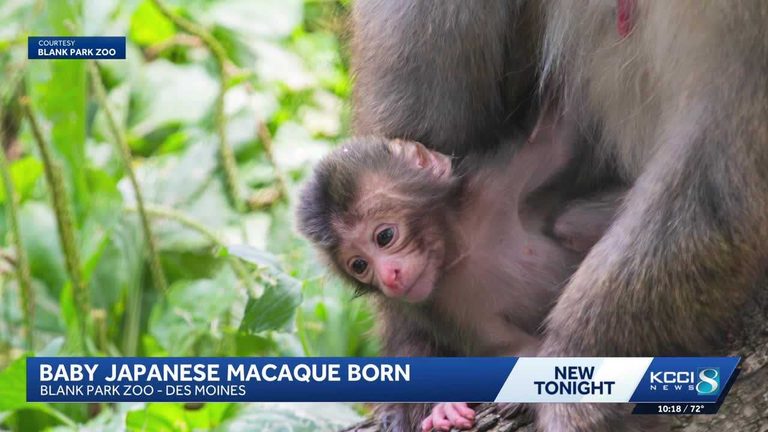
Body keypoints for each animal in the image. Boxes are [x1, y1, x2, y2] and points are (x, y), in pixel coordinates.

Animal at [297, 120, 625, 431]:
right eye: (359, 265)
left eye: (385, 236)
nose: (390, 277)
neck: (461, 250)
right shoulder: (436, 305)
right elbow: (504, 345)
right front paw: (445, 407)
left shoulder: (500, 181)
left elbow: (556, 138)